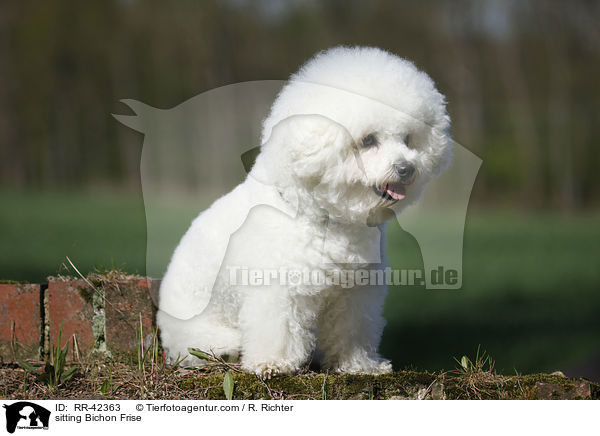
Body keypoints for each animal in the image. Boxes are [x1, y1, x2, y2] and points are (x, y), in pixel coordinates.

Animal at [157, 46, 452, 376]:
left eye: (408, 139)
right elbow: (278, 329)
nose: (407, 168)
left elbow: (352, 331)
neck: (321, 217)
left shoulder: (355, 293)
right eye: (368, 140)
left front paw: (358, 365)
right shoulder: (278, 290)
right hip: (198, 333)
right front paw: (272, 363)